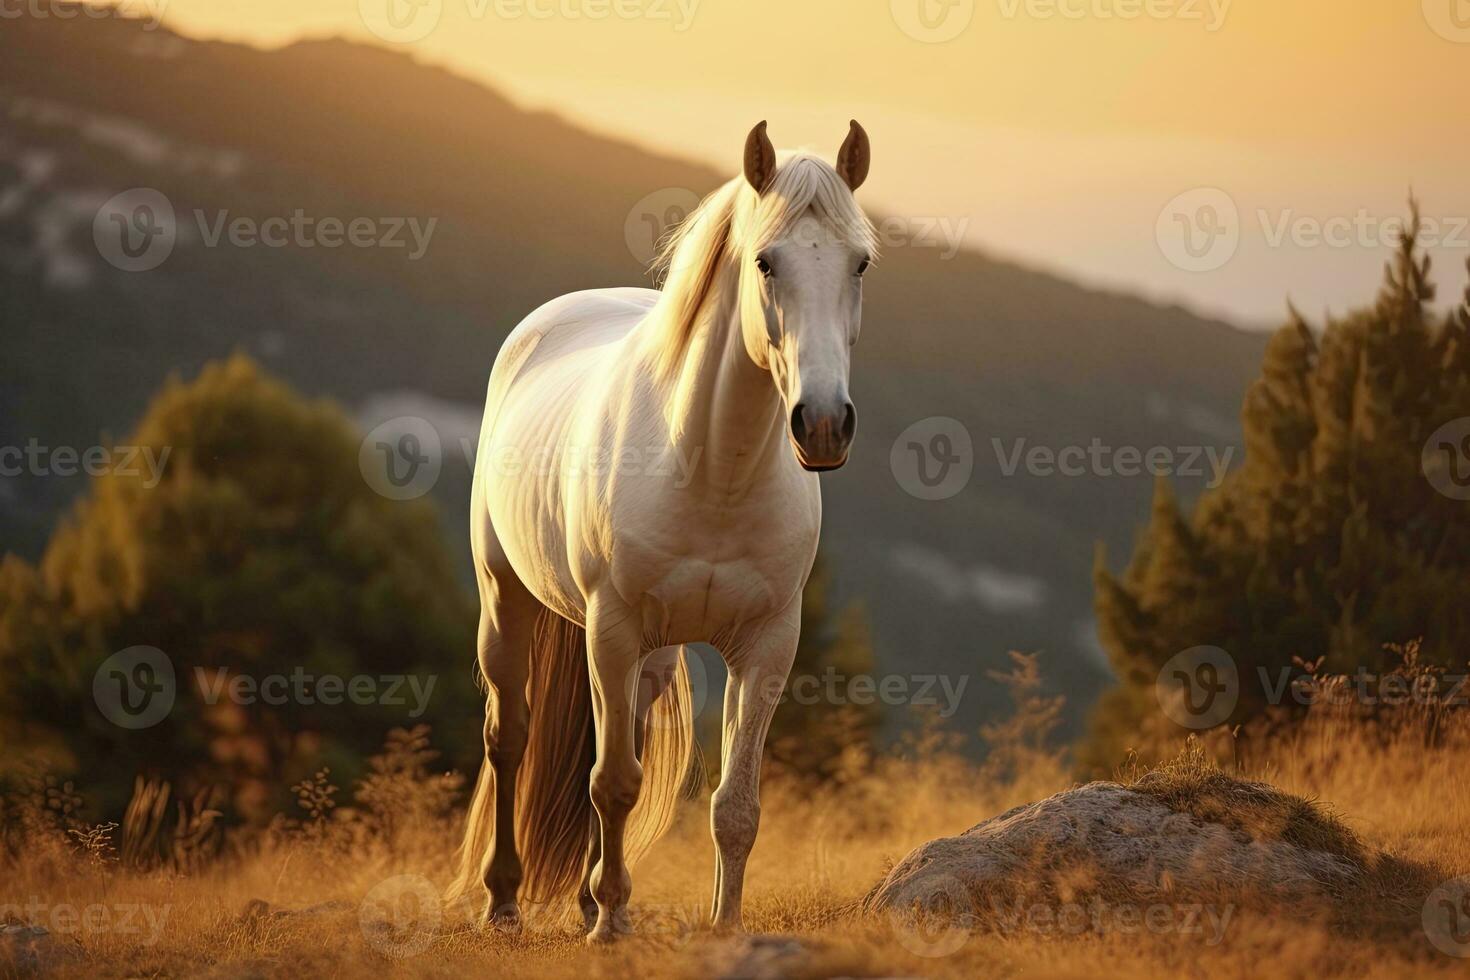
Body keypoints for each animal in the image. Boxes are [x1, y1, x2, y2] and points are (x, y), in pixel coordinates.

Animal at [446, 120, 876, 940]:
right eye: (765, 261)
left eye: (861, 262)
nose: (824, 425)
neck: (714, 471)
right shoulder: (611, 627)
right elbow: (614, 781)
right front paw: (612, 927)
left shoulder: (767, 644)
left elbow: (733, 805)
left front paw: (722, 926)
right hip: (506, 601)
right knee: (509, 738)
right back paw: (506, 902)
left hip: (646, 655)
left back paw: (584, 894)